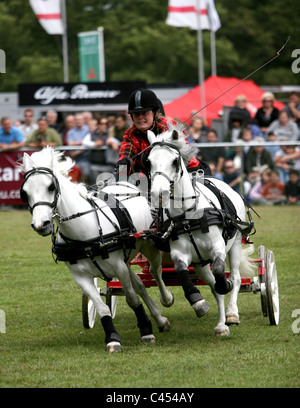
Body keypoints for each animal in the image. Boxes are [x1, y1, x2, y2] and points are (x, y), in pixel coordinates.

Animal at [19, 148, 172, 352]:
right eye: (25, 192)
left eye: (51, 187)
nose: (40, 224)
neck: (85, 231)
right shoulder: (81, 276)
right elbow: (102, 307)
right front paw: (112, 338)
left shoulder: (118, 267)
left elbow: (132, 298)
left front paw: (146, 331)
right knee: (140, 284)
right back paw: (160, 319)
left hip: (148, 245)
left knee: (155, 272)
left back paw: (167, 300)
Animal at [148, 126, 255, 334]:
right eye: (148, 161)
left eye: (174, 161)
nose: (159, 193)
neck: (188, 216)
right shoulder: (180, 254)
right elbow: (182, 272)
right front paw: (198, 303)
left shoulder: (218, 247)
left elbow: (221, 270)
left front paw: (225, 285)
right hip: (200, 263)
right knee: (213, 287)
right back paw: (221, 325)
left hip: (235, 243)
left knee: (236, 277)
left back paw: (232, 313)